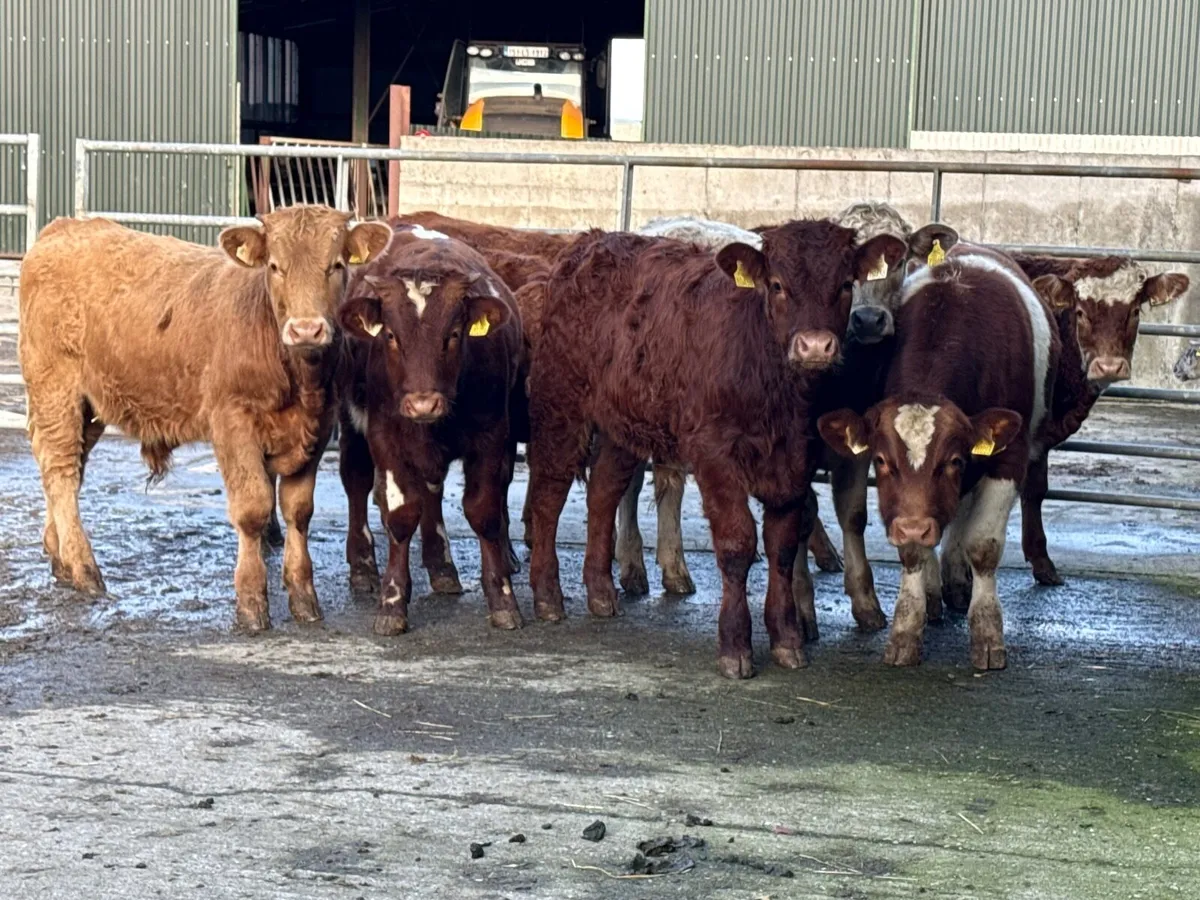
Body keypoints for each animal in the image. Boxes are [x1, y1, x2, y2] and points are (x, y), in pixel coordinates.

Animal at [18, 207, 392, 630]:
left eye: (336, 266)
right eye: (275, 266)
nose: (306, 329)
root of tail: (64, 227)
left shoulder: (318, 427)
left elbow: (299, 511)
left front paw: (304, 598)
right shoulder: (232, 423)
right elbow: (253, 508)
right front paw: (251, 603)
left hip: (90, 405)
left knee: (66, 469)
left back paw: (59, 555)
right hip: (55, 389)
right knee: (62, 470)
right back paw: (84, 569)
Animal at [337, 225, 525, 635]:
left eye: (454, 334)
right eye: (391, 336)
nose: (423, 404)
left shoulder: (492, 436)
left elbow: (483, 511)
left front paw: (502, 596)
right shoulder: (385, 436)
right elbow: (401, 513)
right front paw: (392, 602)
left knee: (433, 490)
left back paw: (442, 565)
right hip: (352, 424)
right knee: (356, 482)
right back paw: (362, 565)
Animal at [526, 222, 905, 678]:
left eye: (846, 284)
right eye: (777, 285)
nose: (815, 346)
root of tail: (591, 239)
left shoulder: (795, 461)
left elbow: (781, 547)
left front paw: (787, 640)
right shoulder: (716, 455)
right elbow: (737, 543)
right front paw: (736, 645)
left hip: (622, 422)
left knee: (603, 492)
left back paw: (600, 591)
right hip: (560, 402)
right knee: (549, 491)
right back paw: (547, 596)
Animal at [819, 244, 1061, 669]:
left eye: (953, 460)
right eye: (881, 461)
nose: (914, 525)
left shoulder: (1008, 456)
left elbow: (982, 544)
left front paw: (987, 632)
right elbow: (913, 550)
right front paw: (906, 628)